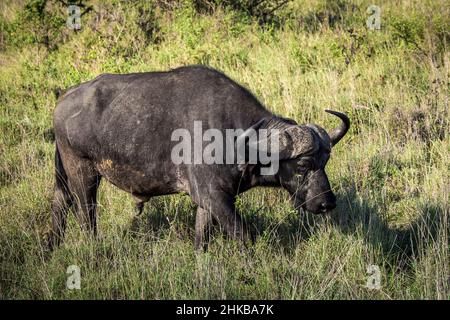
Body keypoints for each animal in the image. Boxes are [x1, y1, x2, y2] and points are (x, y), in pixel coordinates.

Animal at [50, 65, 352, 250]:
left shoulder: (208, 199)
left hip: (63, 174)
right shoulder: (216, 197)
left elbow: (201, 239)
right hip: (83, 173)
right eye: (302, 164)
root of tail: (64, 98)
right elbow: (243, 235)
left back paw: (50, 248)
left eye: (325, 162)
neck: (236, 139)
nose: (327, 203)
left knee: (59, 204)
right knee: (86, 216)